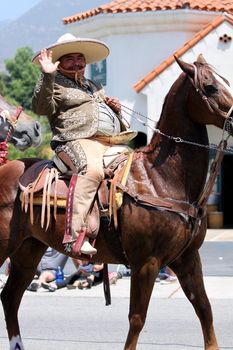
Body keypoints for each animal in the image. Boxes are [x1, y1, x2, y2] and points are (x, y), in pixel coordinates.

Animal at [0, 55, 233, 350]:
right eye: (210, 87)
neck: (160, 178)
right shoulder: (146, 262)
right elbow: (137, 318)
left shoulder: (187, 258)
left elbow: (204, 308)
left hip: (28, 250)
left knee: (10, 297)